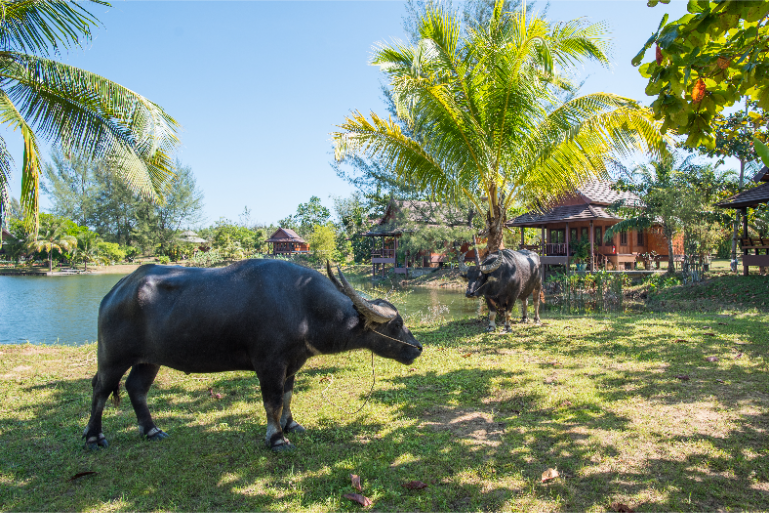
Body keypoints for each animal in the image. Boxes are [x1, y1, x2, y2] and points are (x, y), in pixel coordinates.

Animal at [83, 260, 422, 451]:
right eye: (396, 324)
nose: (417, 348)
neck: (303, 305)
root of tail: (118, 290)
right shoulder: (268, 364)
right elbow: (272, 400)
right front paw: (277, 439)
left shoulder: (293, 364)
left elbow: (288, 396)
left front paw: (290, 425)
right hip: (112, 356)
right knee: (101, 388)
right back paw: (93, 438)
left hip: (149, 359)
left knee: (136, 388)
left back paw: (151, 430)